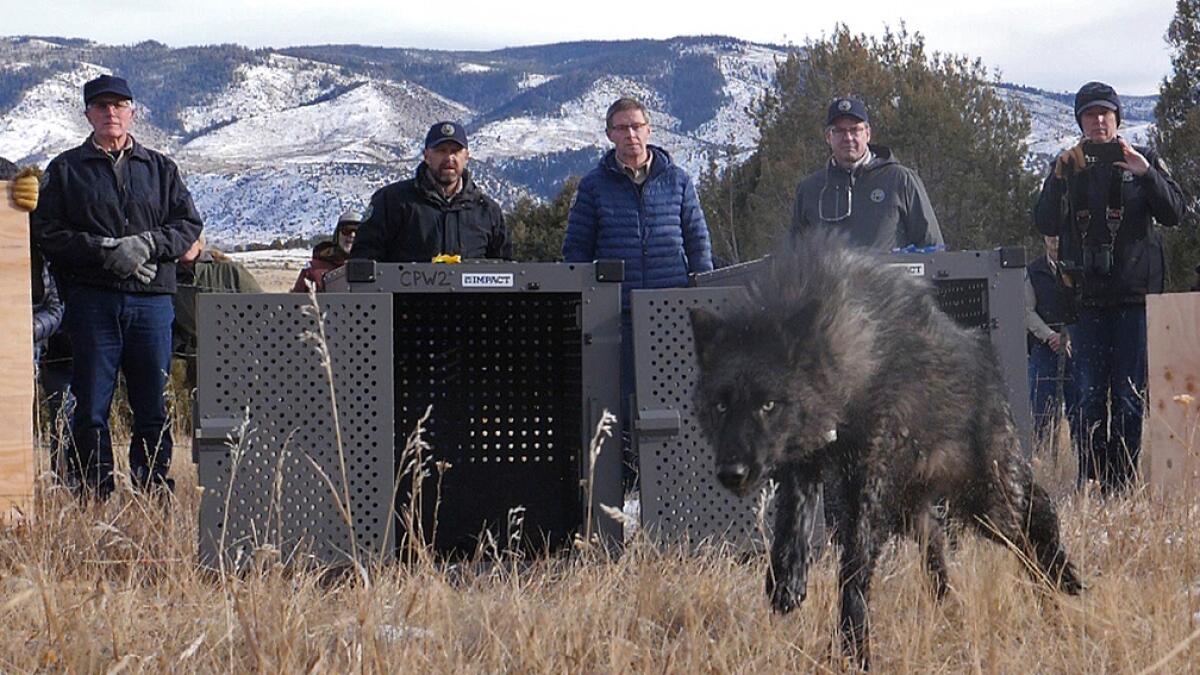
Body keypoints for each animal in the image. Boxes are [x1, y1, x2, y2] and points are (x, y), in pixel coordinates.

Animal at [689, 230, 1081, 669]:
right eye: (721, 406)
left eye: (768, 404)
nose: (732, 473)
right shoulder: (804, 466)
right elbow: (792, 525)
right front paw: (787, 581)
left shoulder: (869, 483)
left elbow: (854, 568)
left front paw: (854, 647)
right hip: (921, 512)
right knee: (940, 552)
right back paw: (950, 610)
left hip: (987, 502)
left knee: (1036, 520)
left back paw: (1060, 582)